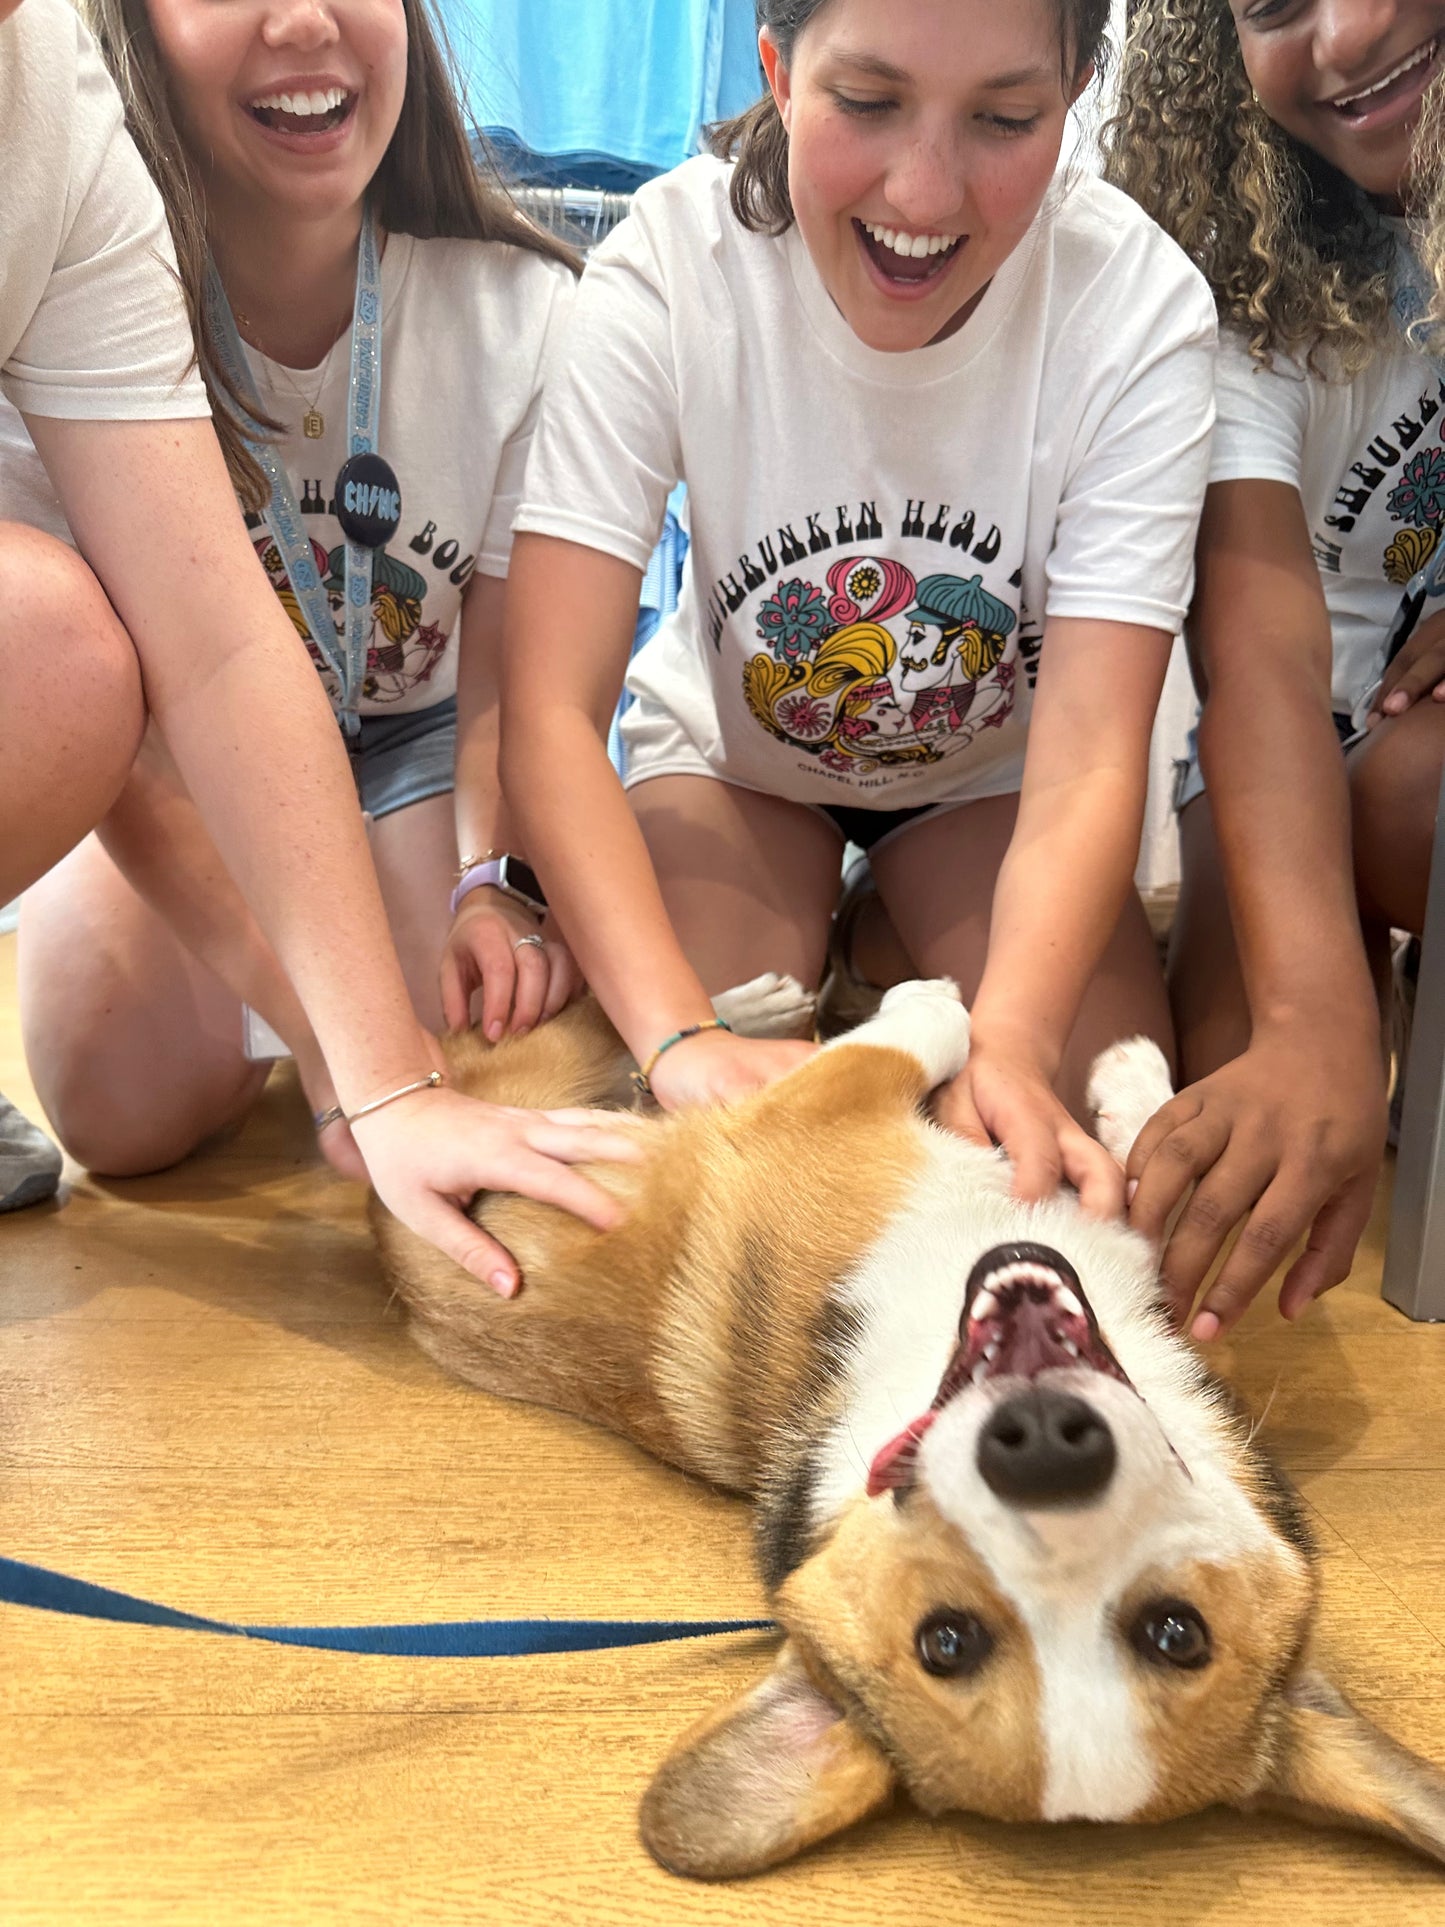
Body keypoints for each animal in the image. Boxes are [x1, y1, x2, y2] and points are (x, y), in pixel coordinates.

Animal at [369, 978, 1445, 1880]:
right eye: (948, 1641)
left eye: (1175, 1633)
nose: (1042, 1444)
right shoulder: (830, 1111)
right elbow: (941, 1058)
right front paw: (1078, 1061)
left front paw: (1119, 1087)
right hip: (521, 1079)